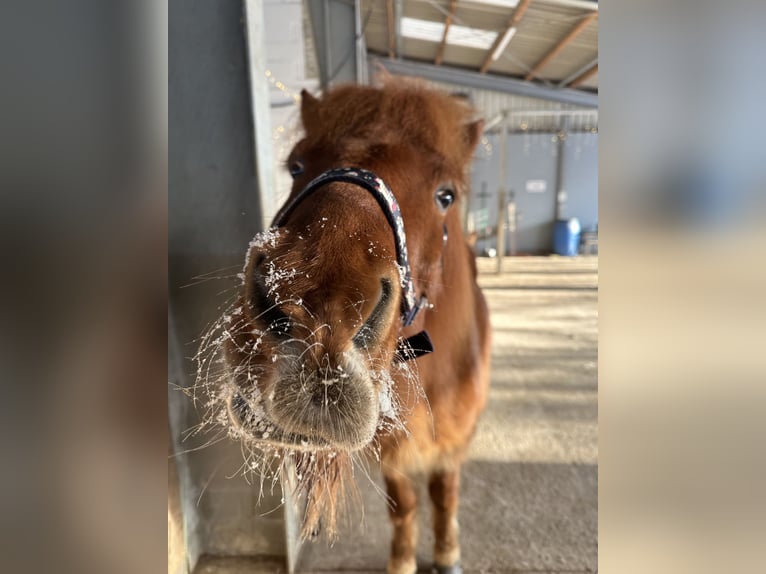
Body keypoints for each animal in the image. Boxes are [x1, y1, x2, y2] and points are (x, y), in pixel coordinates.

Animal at [196, 78, 491, 574]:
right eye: (296, 165)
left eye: (446, 194)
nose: (321, 319)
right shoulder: (391, 447)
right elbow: (404, 503)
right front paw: (402, 562)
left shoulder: (454, 441)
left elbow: (443, 495)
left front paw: (448, 555)